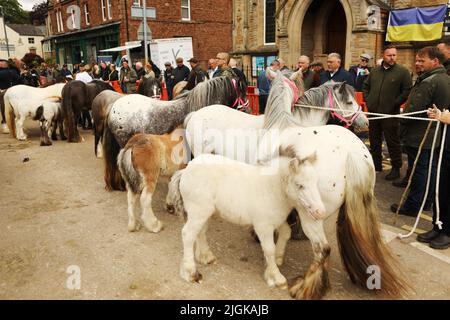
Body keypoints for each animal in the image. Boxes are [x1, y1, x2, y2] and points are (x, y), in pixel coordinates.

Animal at [165, 151, 324, 288]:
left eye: (316, 182)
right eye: (300, 185)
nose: (320, 212)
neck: (271, 189)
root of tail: (185, 170)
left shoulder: (276, 221)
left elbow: (286, 233)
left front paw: (277, 260)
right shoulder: (263, 226)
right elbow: (269, 249)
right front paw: (276, 277)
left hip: (205, 212)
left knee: (201, 232)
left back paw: (206, 257)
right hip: (198, 211)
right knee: (188, 234)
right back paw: (191, 273)